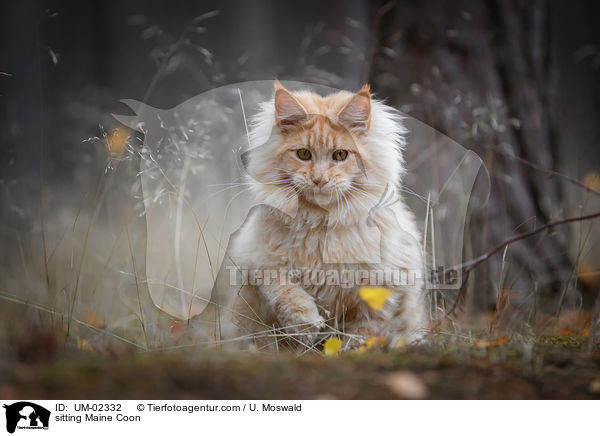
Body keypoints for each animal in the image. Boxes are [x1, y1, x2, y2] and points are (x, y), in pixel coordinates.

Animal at [225, 80, 426, 350]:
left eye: (340, 155)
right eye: (304, 154)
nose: (319, 179)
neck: (320, 222)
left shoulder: (382, 287)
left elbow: (363, 332)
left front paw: (346, 350)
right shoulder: (258, 258)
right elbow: (283, 289)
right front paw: (307, 322)